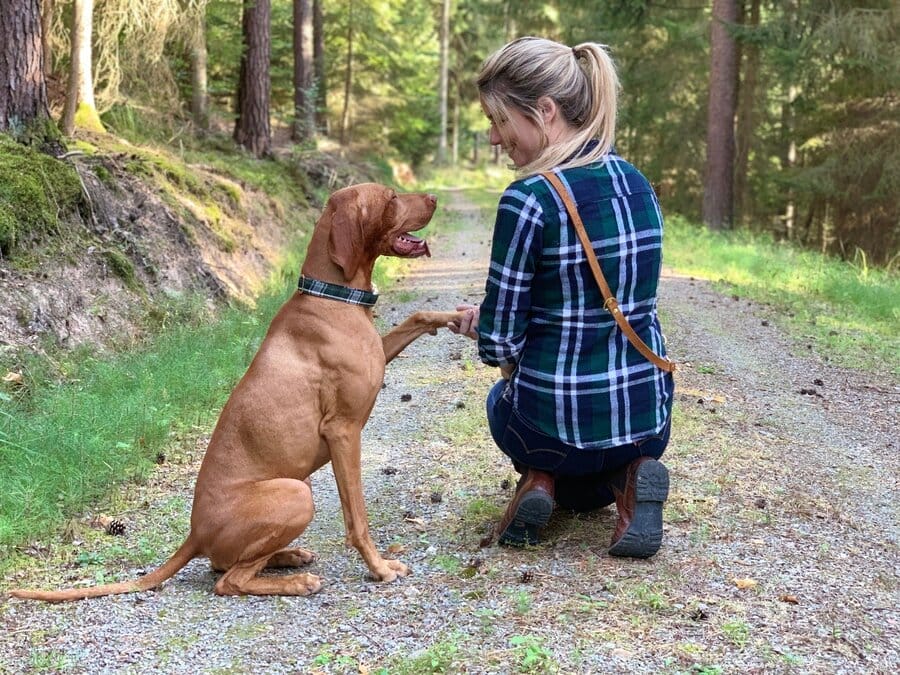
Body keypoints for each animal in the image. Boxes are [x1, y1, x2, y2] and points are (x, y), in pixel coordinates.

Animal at [10, 184, 464, 604]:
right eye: (390, 198)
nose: (434, 198)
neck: (333, 296)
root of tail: (195, 534)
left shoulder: (377, 358)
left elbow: (417, 315)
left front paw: (455, 317)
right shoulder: (343, 430)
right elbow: (358, 519)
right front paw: (379, 567)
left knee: (224, 565)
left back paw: (287, 557)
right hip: (296, 493)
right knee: (228, 580)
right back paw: (296, 581)